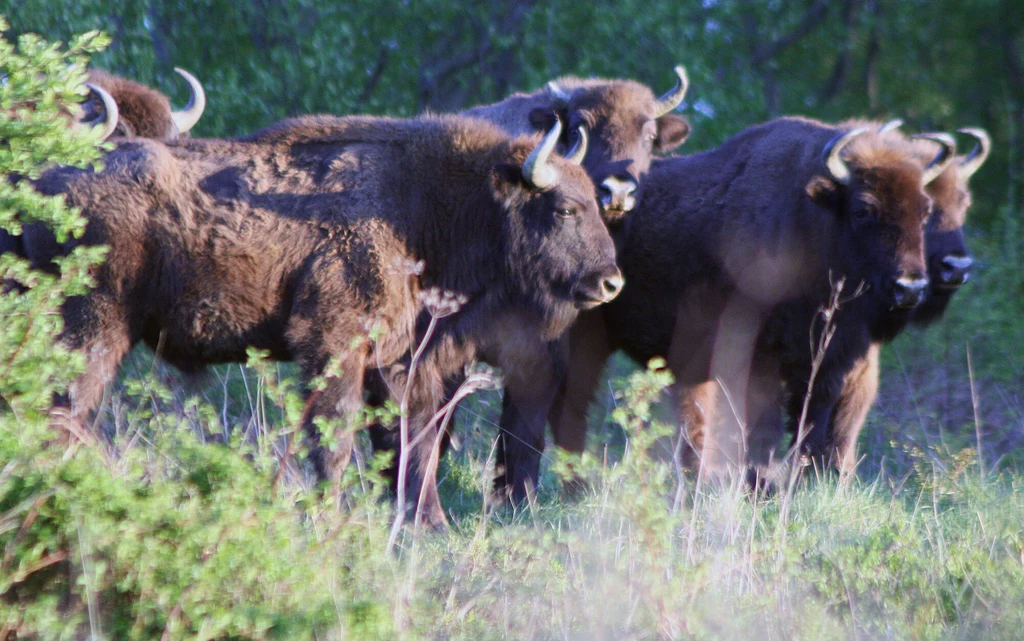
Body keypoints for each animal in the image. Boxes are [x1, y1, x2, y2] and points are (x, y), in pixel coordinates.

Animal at [19, 112, 618, 528]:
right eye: (565, 209)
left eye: (595, 202)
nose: (611, 282)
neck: (426, 206)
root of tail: (41, 184)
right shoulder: (335, 346)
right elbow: (337, 438)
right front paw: (329, 514)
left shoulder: (401, 363)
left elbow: (415, 443)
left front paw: (428, 524)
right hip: (94, 326)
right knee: (67, 406)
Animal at [548, 114, 954, 475]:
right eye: (862, 209)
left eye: (925, 211)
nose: (910, 287)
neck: (812, 222)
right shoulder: (762, 359)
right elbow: (766, 433)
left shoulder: (845, 366)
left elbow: (831, 440)